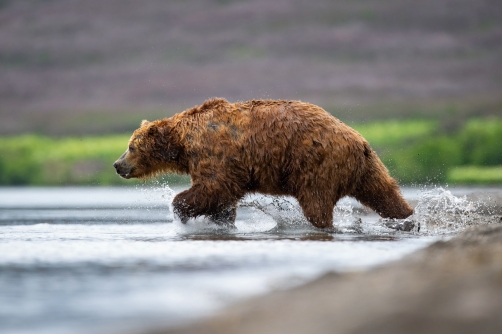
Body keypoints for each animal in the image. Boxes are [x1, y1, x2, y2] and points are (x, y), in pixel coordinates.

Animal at [113, 99, 412, 228]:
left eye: (130, 146)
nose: (117, 164)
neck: (183, 145)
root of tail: (357, 141)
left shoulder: (215, 154)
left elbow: (211, 188)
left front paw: (181, 210)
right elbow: (222, 197)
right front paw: (222, 220)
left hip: (317, 165)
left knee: (316, 202)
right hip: (366, 166)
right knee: (382, 190)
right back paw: (406, 214)